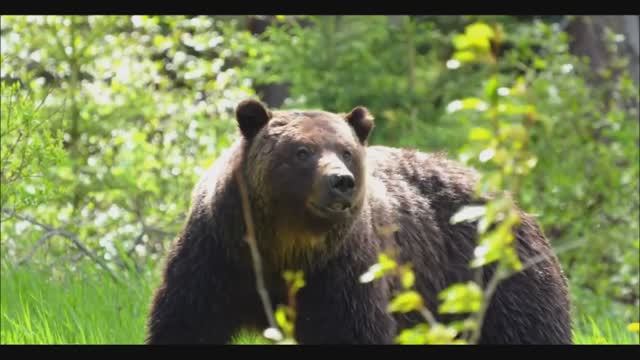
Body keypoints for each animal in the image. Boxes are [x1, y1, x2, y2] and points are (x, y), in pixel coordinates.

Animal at [148, 99, 572, 346]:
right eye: (302, 151)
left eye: (346, 151)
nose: (341, 181)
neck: (286, 245)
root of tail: (513, 203)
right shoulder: (219, 255)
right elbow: (186, 322)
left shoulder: (344, 270)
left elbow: (354, 330)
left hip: (497, 275)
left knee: (529, 330)